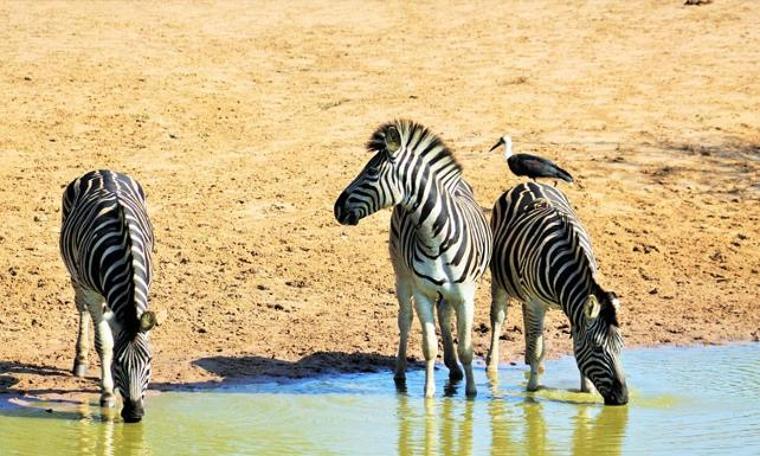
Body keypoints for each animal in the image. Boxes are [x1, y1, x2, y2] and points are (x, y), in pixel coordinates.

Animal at [60, 169, 159, 422]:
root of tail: (103, 170)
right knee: (82, 308)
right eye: (118, 363)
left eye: (149, 361)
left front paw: (111, 387)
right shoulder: (93, 292)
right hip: (76, 276)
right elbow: (104, 343)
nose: (134, 414)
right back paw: (80, 361)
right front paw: (106, 393)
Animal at [334, 119, 492, 398]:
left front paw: (471, 394)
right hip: (401, 275)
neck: (436, 238)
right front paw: (428, 396)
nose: (336, 208)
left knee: (444, 315)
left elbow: (466, 348)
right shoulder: (422, 293)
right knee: (405, 320)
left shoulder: (465, 296)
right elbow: (428, 346)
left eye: (371, 172)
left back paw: (454, 369)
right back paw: (400, 374)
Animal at [486, 183, 628, 406]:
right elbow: (538, 347)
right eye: (597, 348)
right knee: (498, 318)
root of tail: (528, 183)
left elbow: (571, 343)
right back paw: (493, 364)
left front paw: (586, 389)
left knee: (528, 325)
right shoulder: (536, 303)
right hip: (499, 279)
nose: (622, 399)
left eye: (621, 347)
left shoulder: (573, 308)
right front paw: (532, 389)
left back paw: (533, 362)